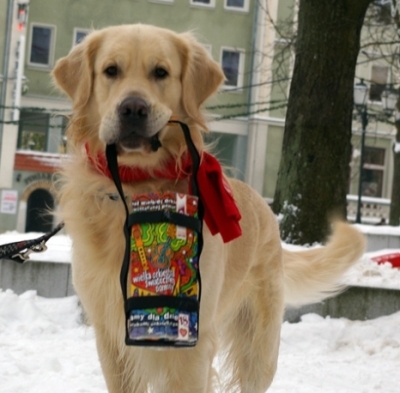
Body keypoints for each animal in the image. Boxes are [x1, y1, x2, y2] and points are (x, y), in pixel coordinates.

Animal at [53, 24, 366, 392]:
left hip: (259, 348)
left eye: (161, 72)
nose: (132, 109)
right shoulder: (111, 338)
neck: (138, 188)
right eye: (111, 70)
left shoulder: (193, 340)